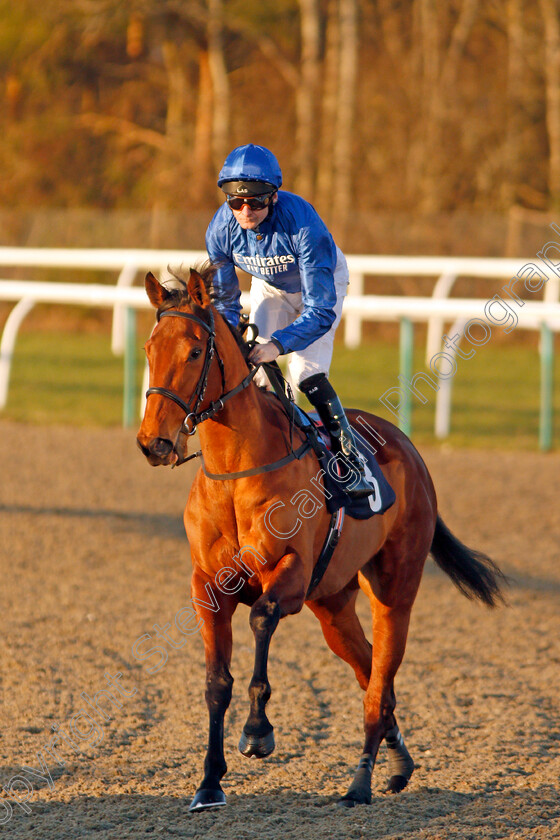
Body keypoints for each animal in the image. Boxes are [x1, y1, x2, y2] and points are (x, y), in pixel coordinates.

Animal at [136, 266, 504, 812]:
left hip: (395, 592)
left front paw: (257, 732)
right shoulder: (207, 587)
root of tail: (411, 451)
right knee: (371, 674)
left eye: (196, 351)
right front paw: (209, 783)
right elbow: (215, 683)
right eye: (149, 349)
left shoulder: (289, 573)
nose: (154, 443)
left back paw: (360, 783)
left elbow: (262, 619)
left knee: (379, 682)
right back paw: (399, 764)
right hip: (333, 605)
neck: (236, 471)